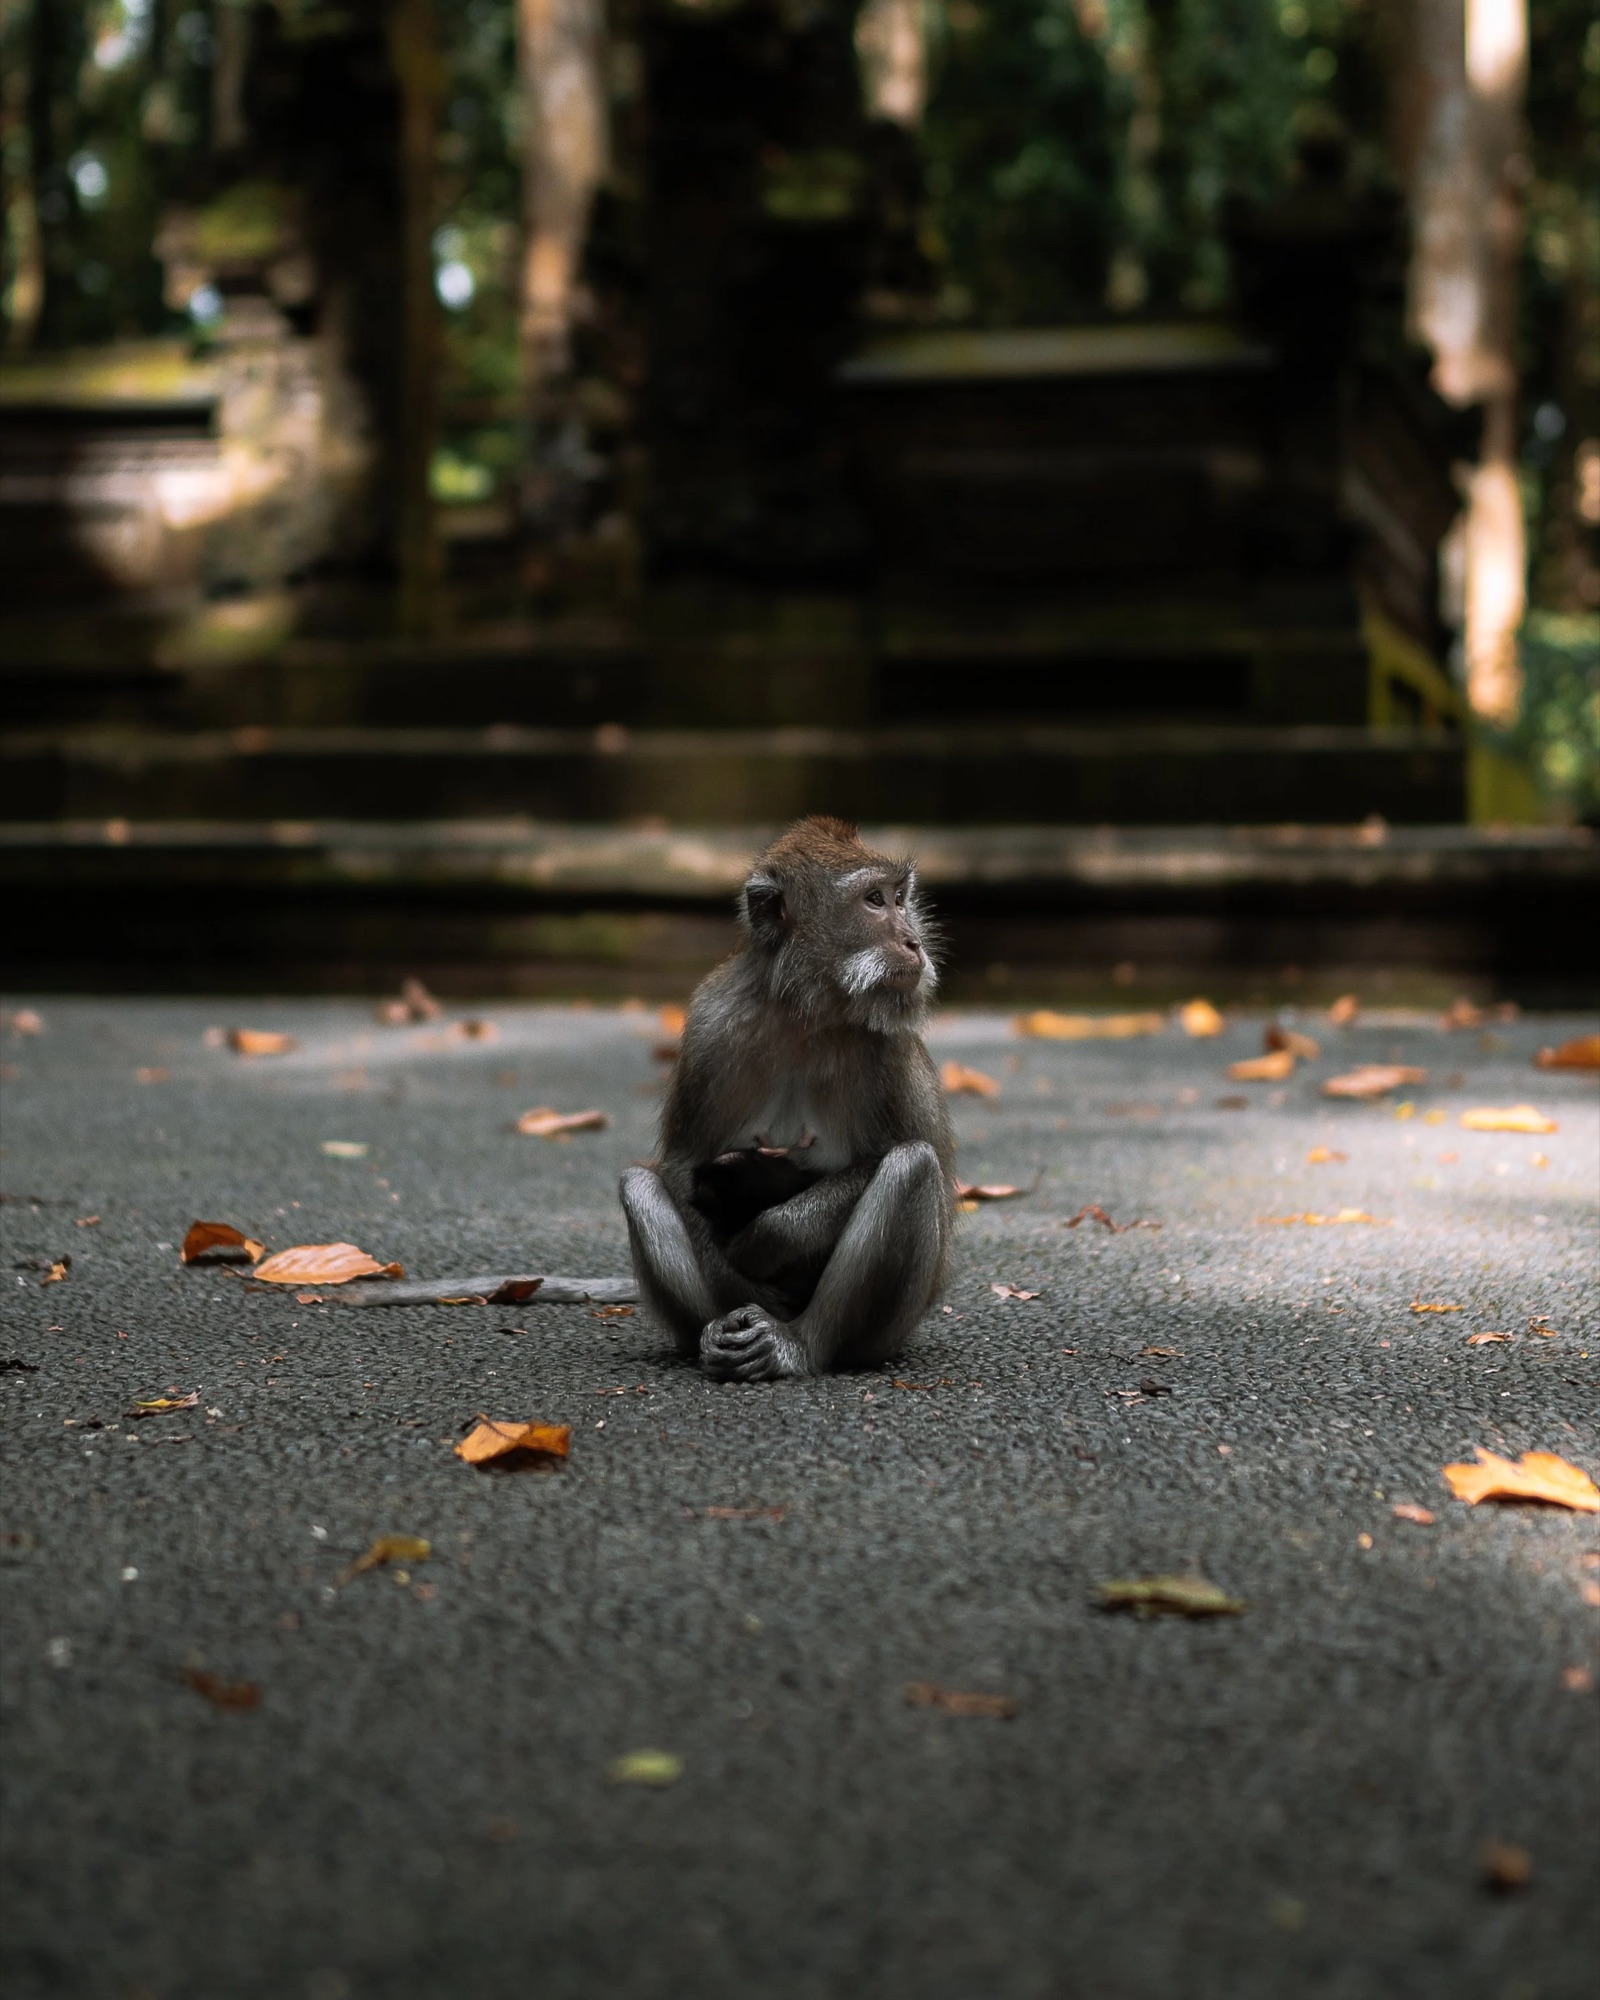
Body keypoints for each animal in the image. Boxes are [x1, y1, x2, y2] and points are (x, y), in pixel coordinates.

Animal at [619, 816, 956, 1382]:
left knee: (912, 1166)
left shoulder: (888, 1046)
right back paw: (718, 1328)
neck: (809, 1013)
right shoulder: (710, 1024)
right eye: (874, 900)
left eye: (900, 897)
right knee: (639, 1185)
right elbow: (683, 1166)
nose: (913, 942)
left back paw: (797, 1344)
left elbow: (910, 1159)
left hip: (886, 1334)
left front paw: (766, 1239)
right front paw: (742, 1280)